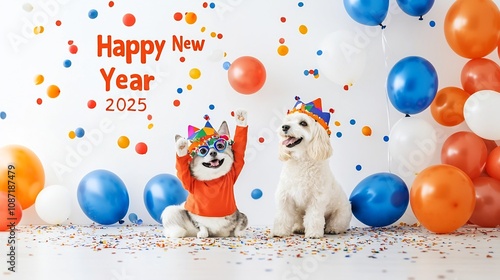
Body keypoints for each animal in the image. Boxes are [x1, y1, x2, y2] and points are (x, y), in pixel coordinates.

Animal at [274, 98, 352, 238]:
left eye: (303, 123)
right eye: (288, 121)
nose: (285, 127)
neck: (301, 160)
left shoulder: (316, 198)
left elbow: (313, 217)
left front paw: (314, 234)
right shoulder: (285, 196)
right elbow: (283, 215)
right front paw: (280, 231)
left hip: (342, 214)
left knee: (336, 223)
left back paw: (332, 229)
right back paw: (299, 228)